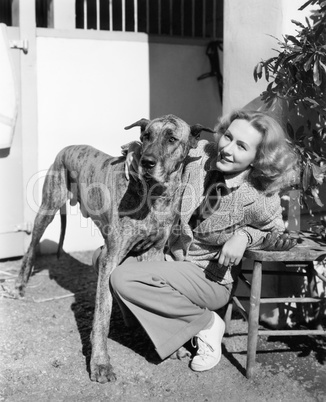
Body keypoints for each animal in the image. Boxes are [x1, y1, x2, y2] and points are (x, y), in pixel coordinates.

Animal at [15, 114, 215, 384]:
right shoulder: (109, 260)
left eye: (172, 139)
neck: (153, 195)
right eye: (146, 136)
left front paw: (171, 347)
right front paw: (100, 363)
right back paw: (20, 284)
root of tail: (68, 147)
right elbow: (102, 315)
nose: (147, 162)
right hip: (47, 209)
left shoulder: (154, 253)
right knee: (31, 247)